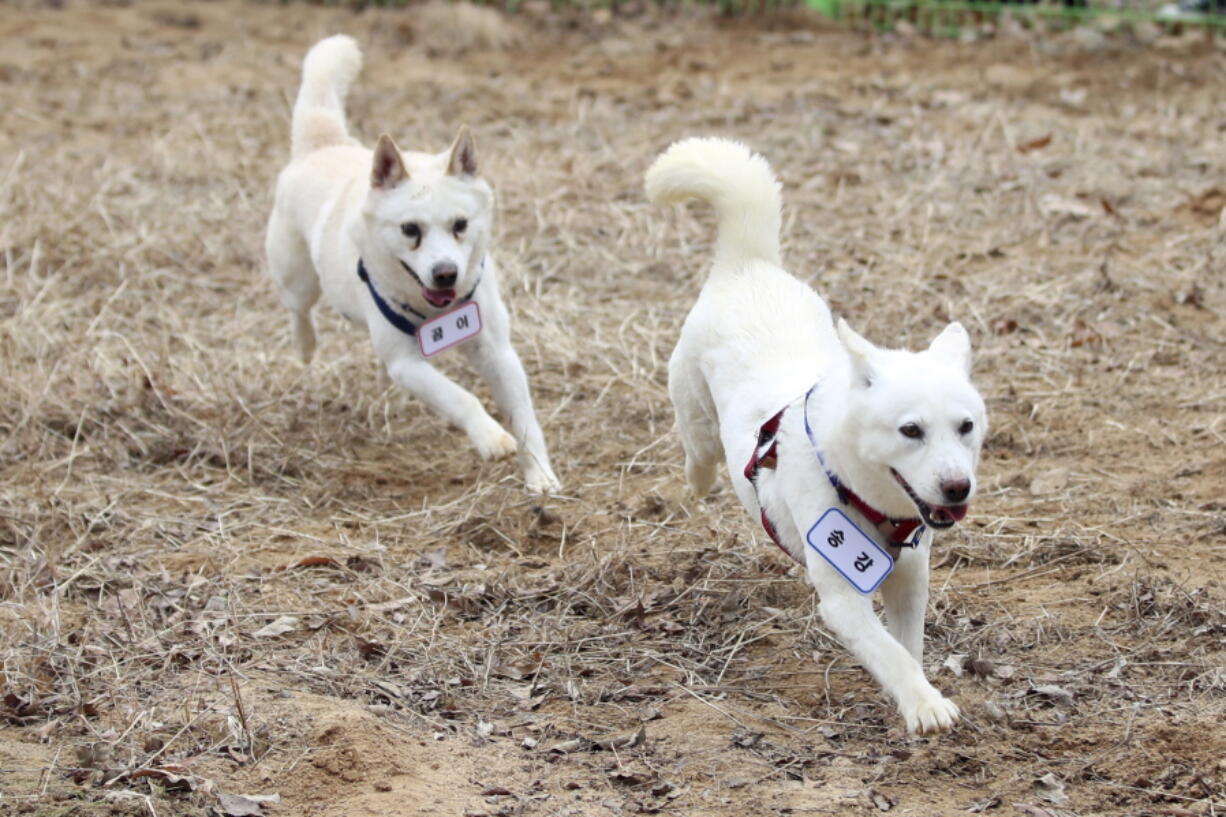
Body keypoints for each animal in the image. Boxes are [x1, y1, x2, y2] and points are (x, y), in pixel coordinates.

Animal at [268, 36, 561, 490]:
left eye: (460, 225)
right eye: (410, 230)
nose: (445, 274)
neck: (436, 311)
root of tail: (326, 144)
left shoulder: (497, 351)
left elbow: (526, 419)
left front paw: (540, 476)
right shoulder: (408, 364)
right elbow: (461, 397)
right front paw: (491, 438)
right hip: (296, 277)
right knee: (299, 310)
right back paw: (305, 346)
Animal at [652, 134, 985, 731]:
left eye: (966, 427)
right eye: (910, 430)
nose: (957, 488)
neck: (867, 497)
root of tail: (748, 266)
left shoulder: (910, 579)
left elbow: (906, 648)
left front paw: (917, 693)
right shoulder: (843, 597)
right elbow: (890, 654)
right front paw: (925, 706)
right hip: (694, 412)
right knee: (698, 449)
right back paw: (697, 481)